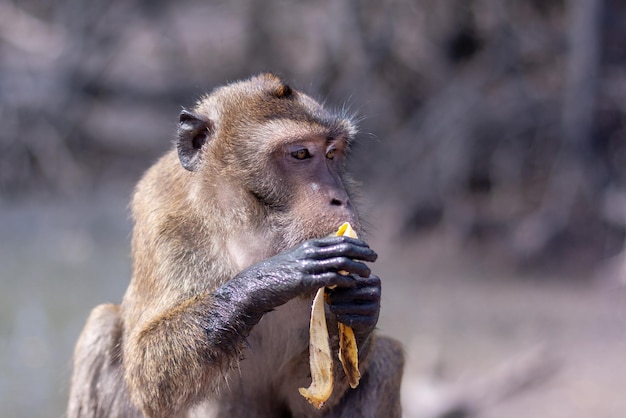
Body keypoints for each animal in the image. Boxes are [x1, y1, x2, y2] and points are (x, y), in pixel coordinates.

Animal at [66, 73, 402, 416]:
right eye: (300, 154)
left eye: (332, 153)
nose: (340, 199)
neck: (247, 240)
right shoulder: (165, 226)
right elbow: (148, 378)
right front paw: (275, 275)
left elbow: (310, 396)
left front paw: (363, 305)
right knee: (102, 325)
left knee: (389, 357)